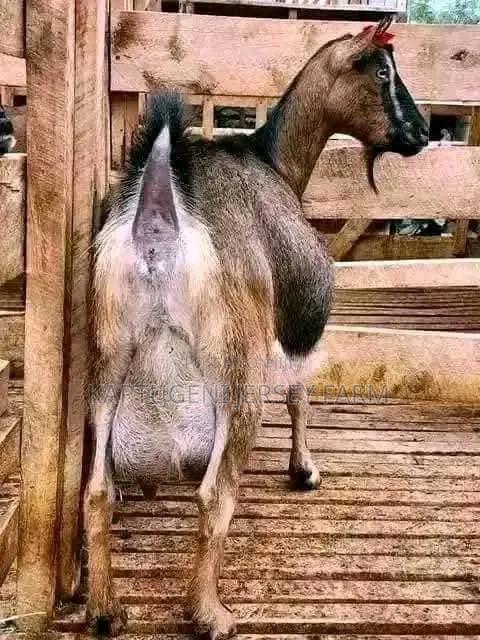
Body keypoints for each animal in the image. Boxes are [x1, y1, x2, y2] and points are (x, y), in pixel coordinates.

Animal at [85, 17, 428, 639]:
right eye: (382, 70)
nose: (420, 132)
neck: (273, 161)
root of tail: (157, 222)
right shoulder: (291, 324)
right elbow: (300, 393)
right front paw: (304, 470)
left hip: (110, 356)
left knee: (97, 490)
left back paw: (105, 608)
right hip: (236, 372)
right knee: (213, 496)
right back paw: (209, 613)